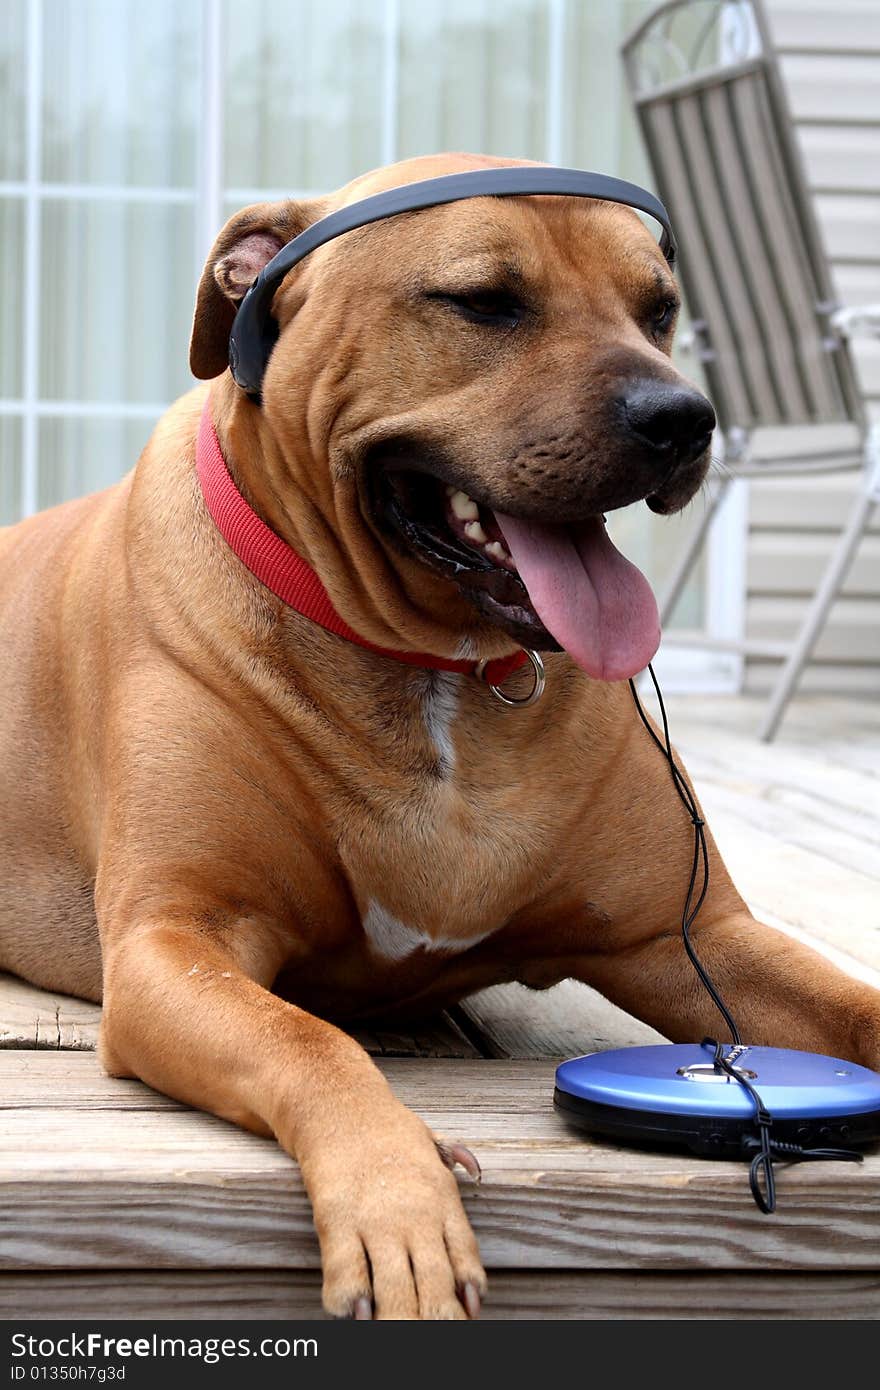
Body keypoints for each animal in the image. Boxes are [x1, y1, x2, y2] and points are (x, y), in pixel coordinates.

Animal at [1, 152, 878, 1312]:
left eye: (660, 309)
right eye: (484, 302)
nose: (683, 417)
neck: (441, 674)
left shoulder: (688, 935)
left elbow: (854, 1006)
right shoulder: (174, 944)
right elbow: (310, 1041)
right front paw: (399, 1201)